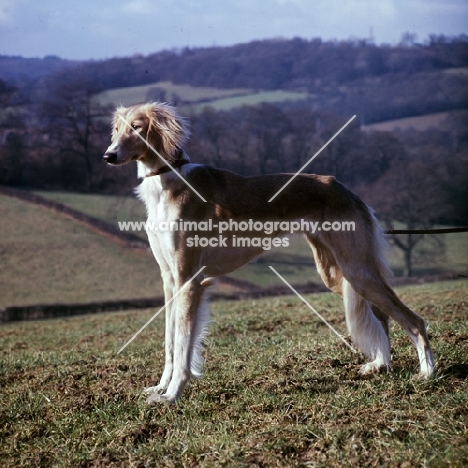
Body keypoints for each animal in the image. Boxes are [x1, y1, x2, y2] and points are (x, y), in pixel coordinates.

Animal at [103, 104, 436, 404]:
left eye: (137, 128)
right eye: (117, 129)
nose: (108, 156)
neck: (167, 181)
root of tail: (347, 191)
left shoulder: (188, 280)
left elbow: (183, 343)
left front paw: (172, 396)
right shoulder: (170, 280)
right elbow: (170, 343)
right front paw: (161, 388)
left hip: (356, 269)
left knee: (414, 321)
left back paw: (427, 372)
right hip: (340, 272)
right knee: (383, 317)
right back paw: (381, 364)